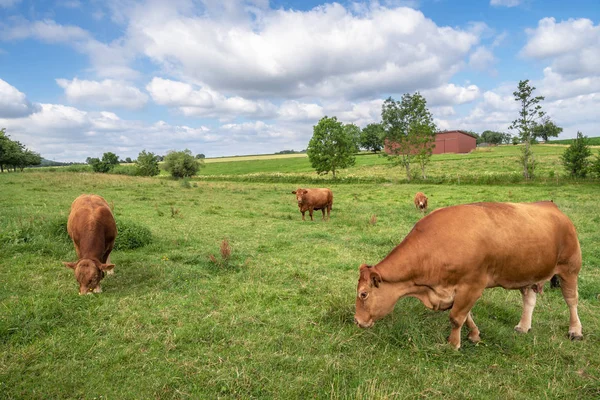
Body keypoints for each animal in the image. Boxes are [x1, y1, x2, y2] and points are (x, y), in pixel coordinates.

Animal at [354, 202, 584, 348]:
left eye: (363, 294)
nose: (357, 321)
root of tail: (551, 206)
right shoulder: (458, 288)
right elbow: (466, 316)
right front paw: (473, 335)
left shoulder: (473, 284)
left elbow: (456, 317)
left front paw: (453, 344)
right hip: (529, 272)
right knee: (529, 298)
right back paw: (523, 326)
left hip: (570, 268)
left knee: (571, 300)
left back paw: (575, 331)